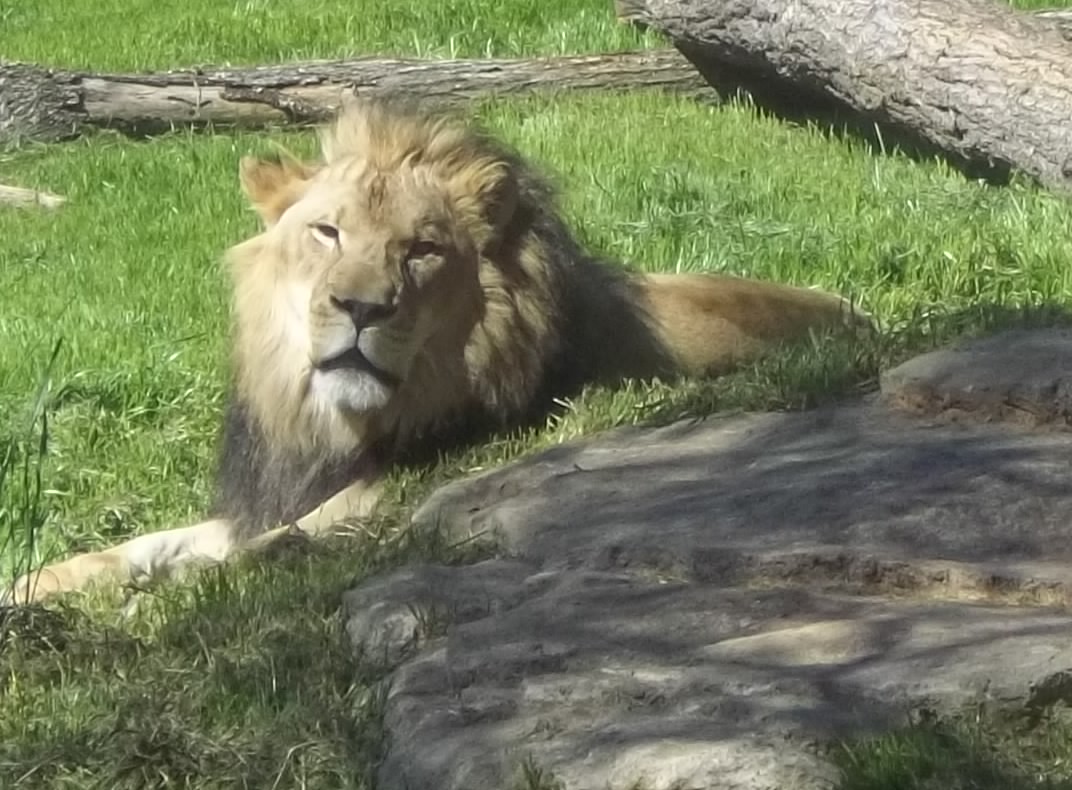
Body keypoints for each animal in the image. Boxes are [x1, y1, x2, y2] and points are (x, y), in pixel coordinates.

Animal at [5, 97, 869, 605]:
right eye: (328, 233)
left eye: (421, 250)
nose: (360, 307)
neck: (333, 424)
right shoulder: (264, 500)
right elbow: (138, 548)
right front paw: (34, 584)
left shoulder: (368, 504)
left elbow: (233, 558)